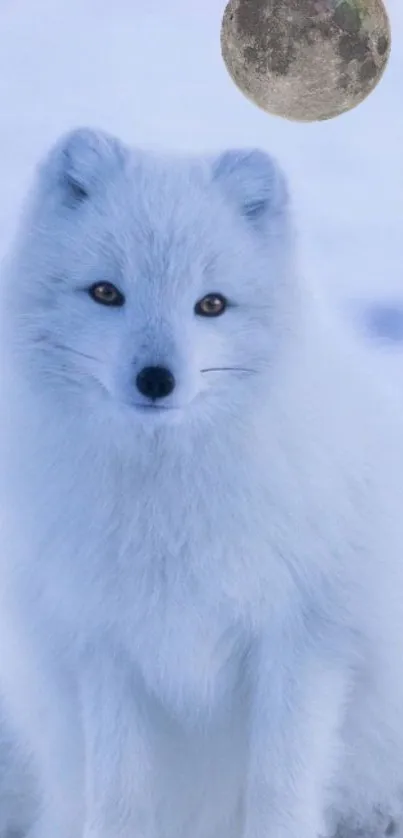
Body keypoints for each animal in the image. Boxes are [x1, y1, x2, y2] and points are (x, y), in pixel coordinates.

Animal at [0, 124, 403, 838]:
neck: (169, 505)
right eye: (106, 293)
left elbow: (279, 788)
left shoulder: (305, 640)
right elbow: (120, 797)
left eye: (211, 304)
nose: (156, 379)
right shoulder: (106, 648)